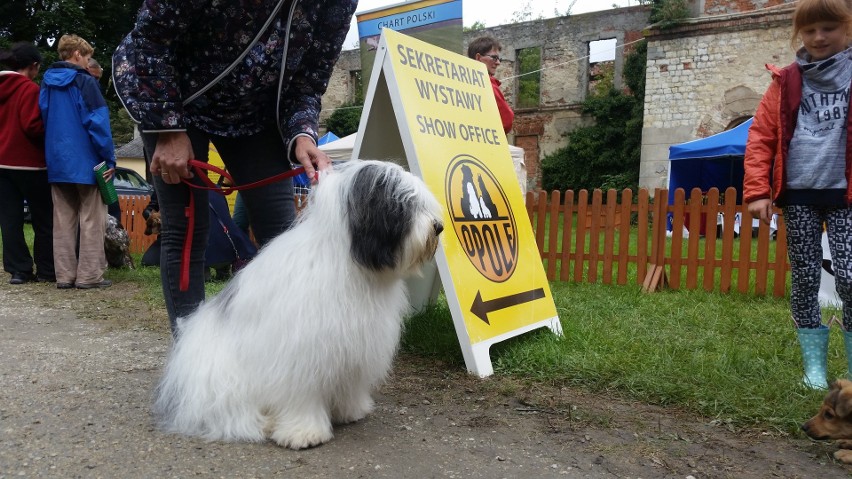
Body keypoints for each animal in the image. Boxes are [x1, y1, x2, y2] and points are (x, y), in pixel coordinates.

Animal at [153, 160, 442, 450]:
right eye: (403, 203)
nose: (438, 226)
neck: (348, 264)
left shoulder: (354, 346)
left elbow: (349, 384)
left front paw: (350, 410)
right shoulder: (301, 352)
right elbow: (301, 395)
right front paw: (304, 432)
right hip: (221, 381)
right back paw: (264, 423)